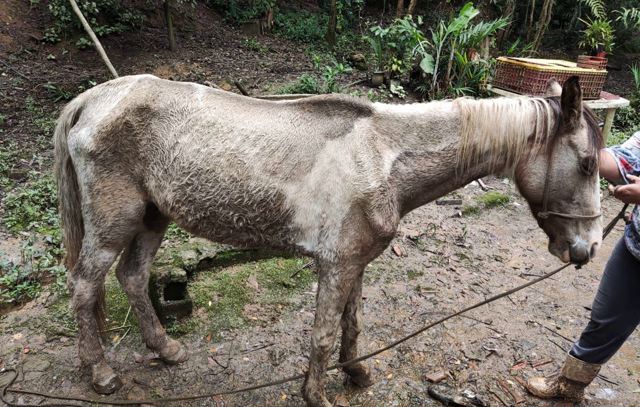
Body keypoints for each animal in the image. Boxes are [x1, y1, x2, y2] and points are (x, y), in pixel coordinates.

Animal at [53, 75, 600, 406]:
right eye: (588, 162)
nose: (588, 249)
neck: (382, 156)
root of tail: (92, 99)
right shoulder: (335, 265)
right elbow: (321, 332)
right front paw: (316, 393)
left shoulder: (356, 262)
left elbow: (350, 324)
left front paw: (356, 373)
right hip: (115, 224)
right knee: (84, 286)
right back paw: (101, 373)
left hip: (152, 218)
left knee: (132, 277)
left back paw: (166, 349)